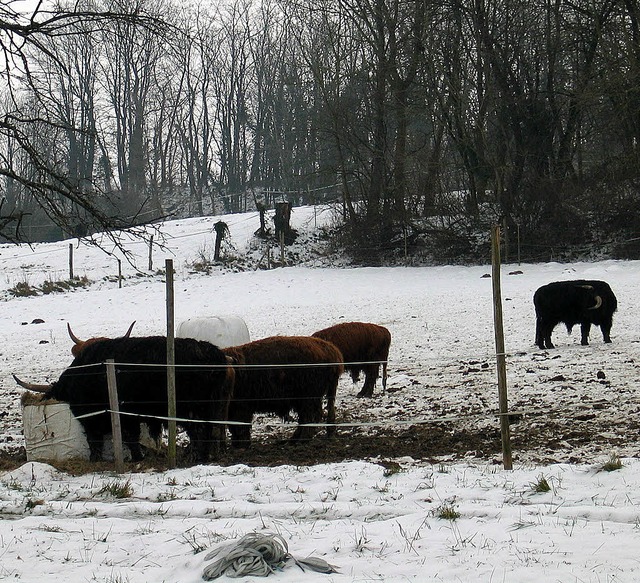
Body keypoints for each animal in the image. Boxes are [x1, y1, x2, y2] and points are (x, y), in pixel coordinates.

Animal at [14, 336, 232, 464]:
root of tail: (216, 356)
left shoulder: (121, 415)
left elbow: (123, 436)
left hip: (193, 408)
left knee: (200, 431)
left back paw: (196, 457)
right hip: (210, 407)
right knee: (208, 431)